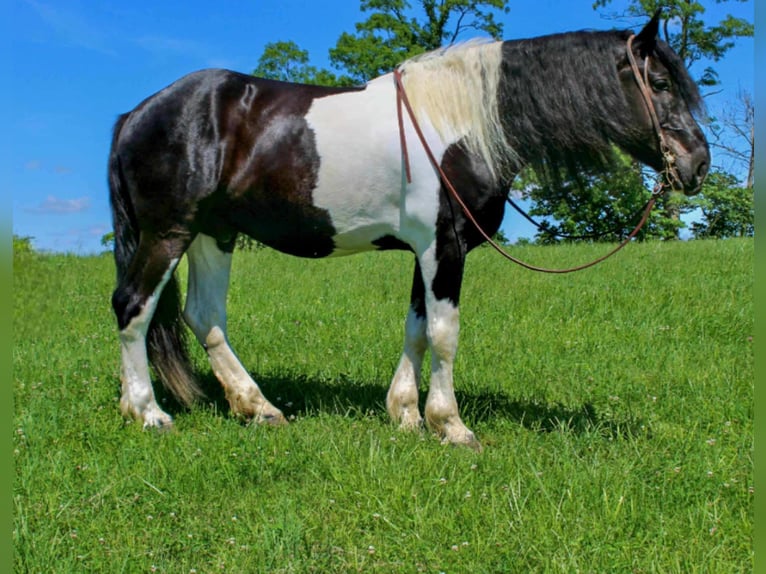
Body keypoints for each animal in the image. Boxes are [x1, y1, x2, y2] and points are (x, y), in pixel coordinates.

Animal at [106, 10, 708, 450]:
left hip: (213, 234)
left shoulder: (429, 250)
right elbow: (444, 333)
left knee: (204, 315)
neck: (462, 125)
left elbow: (417, 329)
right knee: (133, 306)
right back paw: (147, 412)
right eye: (659, 82)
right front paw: (451, 426)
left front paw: (406, 415)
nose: (698, 164)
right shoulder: (444, 246)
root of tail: (137, 113)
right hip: (168, 232)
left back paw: (258, 408)